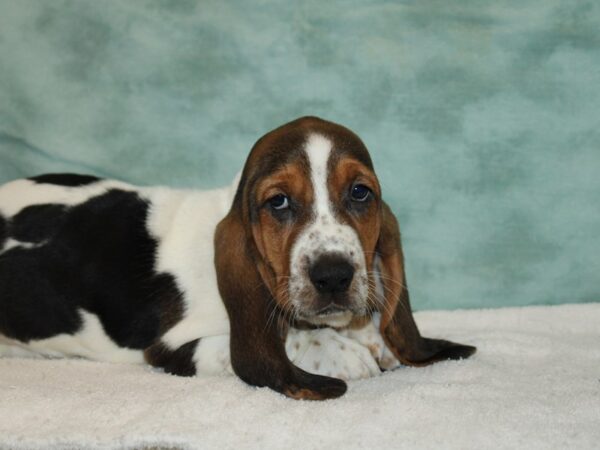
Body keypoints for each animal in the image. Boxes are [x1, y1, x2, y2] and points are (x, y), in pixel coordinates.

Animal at [1, 117, 478, 400]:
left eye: (360, 192)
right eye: (278, 201)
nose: (333, 276)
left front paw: (372, 337)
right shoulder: (176, 349)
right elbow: (281, 339)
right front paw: (342, 352)